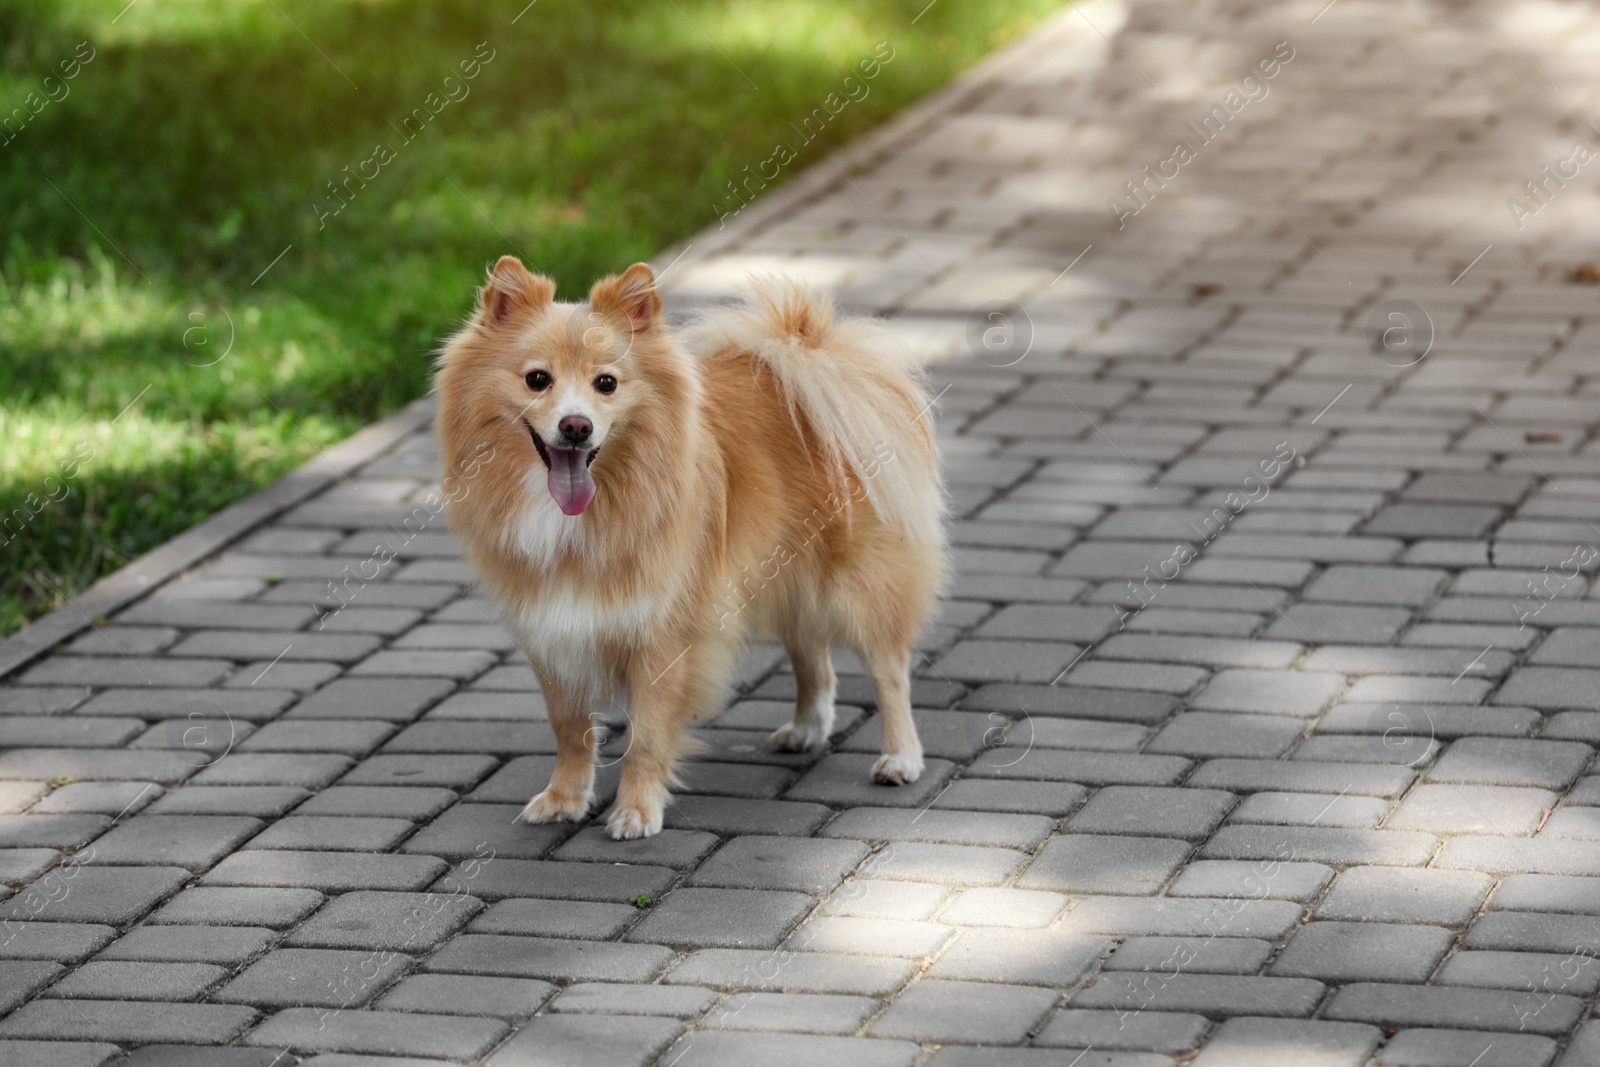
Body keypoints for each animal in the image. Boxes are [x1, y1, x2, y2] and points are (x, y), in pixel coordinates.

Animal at [432, 259, 940, 844]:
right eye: (538, 379)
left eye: (606, 383)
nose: (576, 426)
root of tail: (810, 359)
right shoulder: (554, 631)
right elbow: (570, 728)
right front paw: (565, 798)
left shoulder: (663, 636)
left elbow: (648, 736)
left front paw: (636, 811)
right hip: (788, 573)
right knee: (812, 654)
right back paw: (807, 727)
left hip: (857, 583)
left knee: (888, 671)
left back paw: (901, 758)